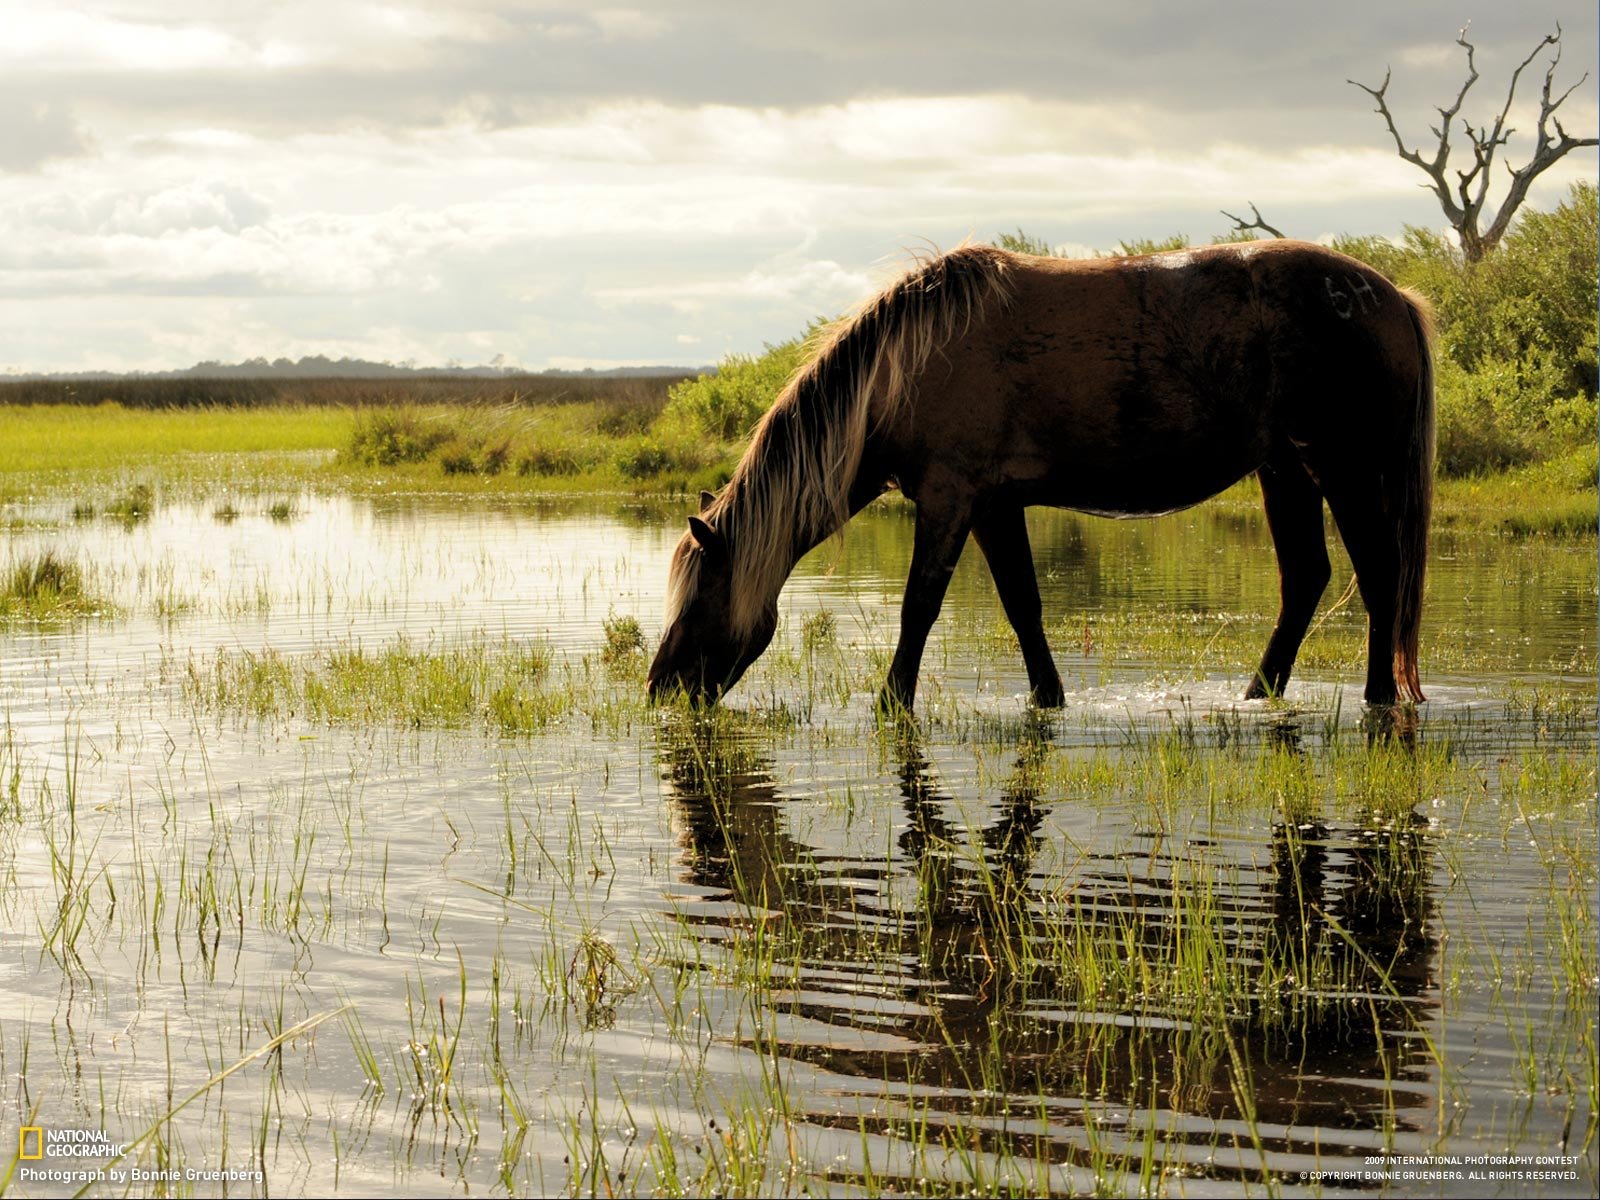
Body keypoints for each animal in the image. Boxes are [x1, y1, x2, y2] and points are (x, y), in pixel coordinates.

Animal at [646, 243, 1440, 713]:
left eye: (700, 596)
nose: (660, 687)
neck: (906, 367)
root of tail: (1394, 297)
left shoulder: (950, 500)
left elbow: (918, 607)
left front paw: (891, 703)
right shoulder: (995, 507)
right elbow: (1023, 606)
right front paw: (1047, 698)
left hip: (1342, 469)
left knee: (1378, 573)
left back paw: (1378, 697)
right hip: (1286, 471)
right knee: (1307, 577)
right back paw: (1257, 692)